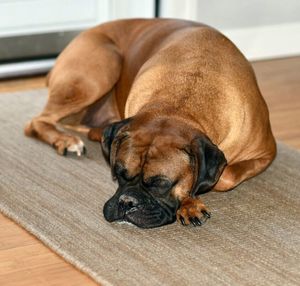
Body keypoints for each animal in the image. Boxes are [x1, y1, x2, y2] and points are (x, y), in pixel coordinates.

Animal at [24, 18, 276, 228]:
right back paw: (66, 141)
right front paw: (191, 203)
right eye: (120, 173)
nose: (127, 202)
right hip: (102, 67)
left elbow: (225, 177)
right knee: (37, 121)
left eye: (161, 184)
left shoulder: (267, 153)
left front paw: (190, 201)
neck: (183, 100)